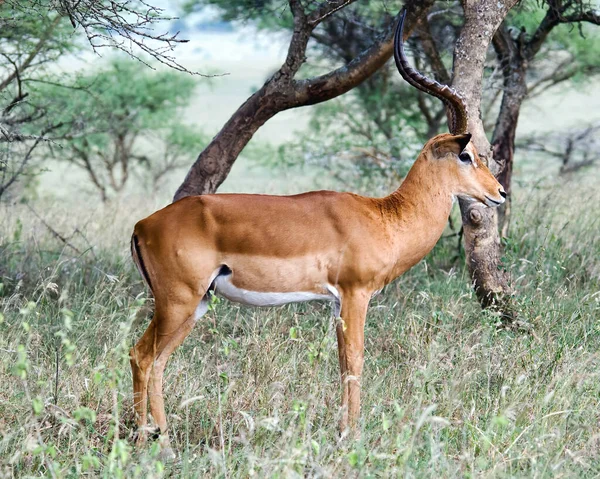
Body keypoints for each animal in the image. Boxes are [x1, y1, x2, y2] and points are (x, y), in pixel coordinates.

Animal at [127, 8, 506, 458]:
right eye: (466, 155)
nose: (500, 193)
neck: (383, 216)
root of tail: (142, 225)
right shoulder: (356, 294)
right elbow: (356, 361)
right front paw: (352, 438)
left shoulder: (336, 302)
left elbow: (341, 362)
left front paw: (342, 432)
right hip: (178, 302)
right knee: (140, 356)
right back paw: (146, 442)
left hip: (195, 304)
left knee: (158, 361)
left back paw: (163, 440)